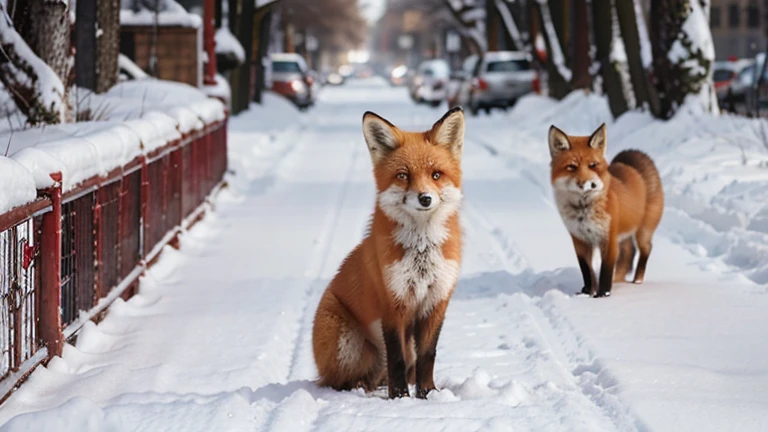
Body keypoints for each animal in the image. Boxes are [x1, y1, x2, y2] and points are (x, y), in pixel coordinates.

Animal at [310, 107, 464, 398]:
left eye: (436, 174)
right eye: (403, 175)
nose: (425, 198)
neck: (421, 254)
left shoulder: (436, 301)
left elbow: (428, 356)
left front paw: (428, 393)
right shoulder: (393, 303)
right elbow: (397, 357)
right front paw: (400, 397)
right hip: (347, 344)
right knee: (338, 380)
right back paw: (361, 386)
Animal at [548, 121, 664, 296]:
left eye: (593, 165)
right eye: (572, 167)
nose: (589, 184)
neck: (583, 210)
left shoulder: (608, 239)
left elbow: (605, 271)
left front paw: (603, 295)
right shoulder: (580, 240)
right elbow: (587, 271)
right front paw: (587, 293)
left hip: (642, 232)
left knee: (646, 249)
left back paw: (637, 280)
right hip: (624, 236)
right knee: (629, 252)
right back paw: (619, 280)